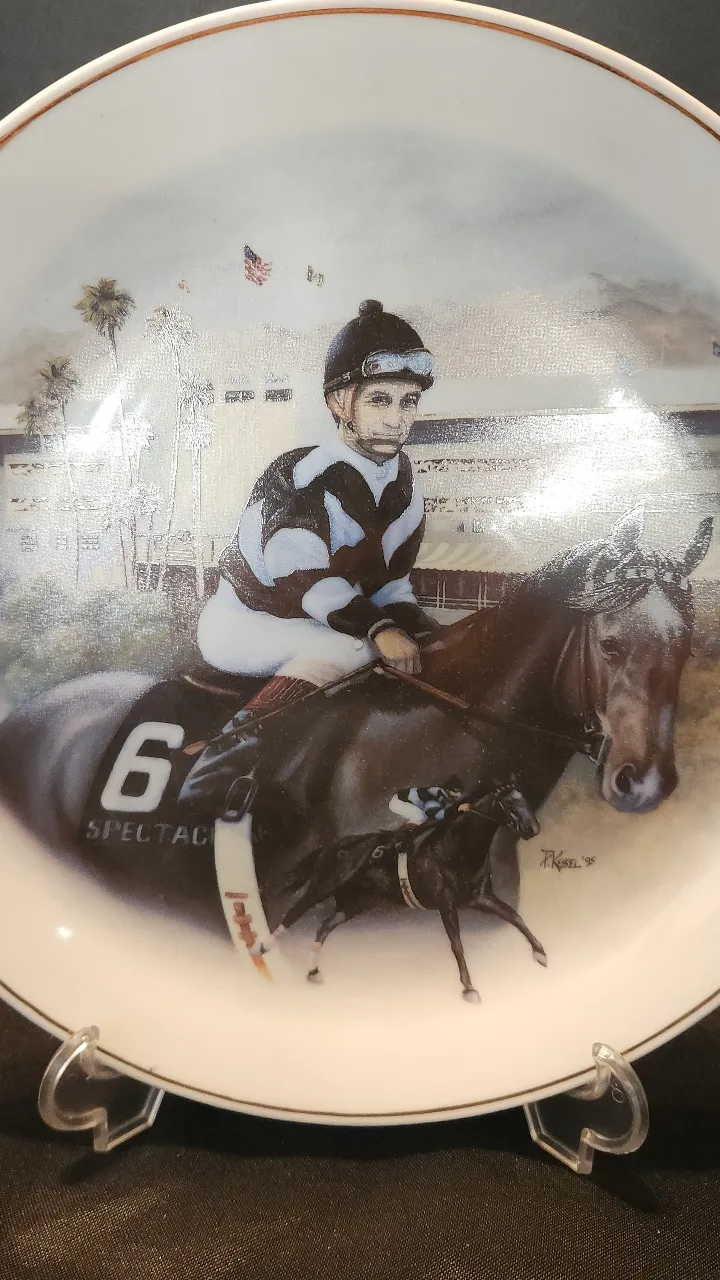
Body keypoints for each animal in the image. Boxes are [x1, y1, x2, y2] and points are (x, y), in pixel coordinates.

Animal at [257, 777, 544, 1002]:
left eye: (525, 799)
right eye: (509, 803)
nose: (533, 828)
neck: (457, 848)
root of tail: (333, 844)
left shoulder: (480, 897)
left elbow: (514, 916)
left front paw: (540, 953)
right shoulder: (446, 904)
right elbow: (457, 945)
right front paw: (469, 988)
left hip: (355, 902)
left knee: (325, 926)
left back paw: (312, 972)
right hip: (325, 883)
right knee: (296, 910)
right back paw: (263, 947)